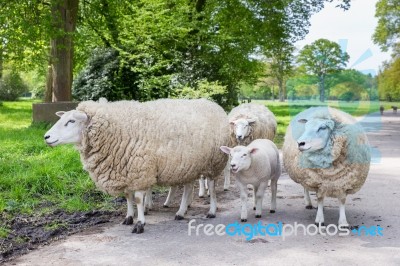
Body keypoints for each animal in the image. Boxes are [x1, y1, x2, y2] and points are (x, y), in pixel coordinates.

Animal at [44, 98, 230, 234]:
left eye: (71, 121)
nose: (46, 137)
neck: (114, 130)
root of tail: (213, 104)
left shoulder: (140, 171)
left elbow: (139, 199)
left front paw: (140, 223)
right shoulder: (125, 171)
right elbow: (128, 197)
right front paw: (128, 218)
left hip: (214, 162)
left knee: (212, 186)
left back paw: (211, 211)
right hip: (187, 165)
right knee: (188, 187)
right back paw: (181, 212)